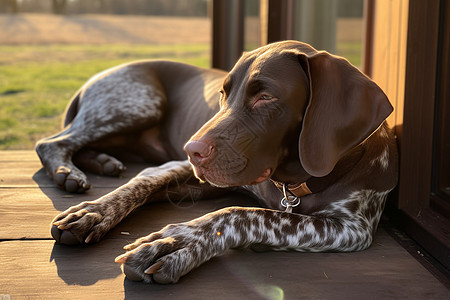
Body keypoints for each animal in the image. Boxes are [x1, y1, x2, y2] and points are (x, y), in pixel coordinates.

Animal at [37, 40, 400, 284]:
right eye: (224, 94)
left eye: (266, 96)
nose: (191, 149)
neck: (295, 182)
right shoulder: (181, 170)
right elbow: (143, 182)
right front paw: (93, 212)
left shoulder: (352, 228)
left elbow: (242, 214)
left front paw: (175, 243)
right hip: (138, 103)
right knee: (52, 142)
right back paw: (71, 172)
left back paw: (100, 162)